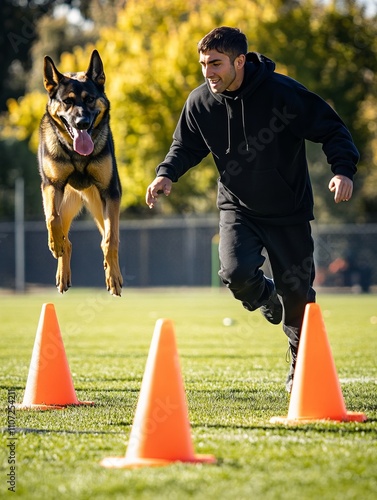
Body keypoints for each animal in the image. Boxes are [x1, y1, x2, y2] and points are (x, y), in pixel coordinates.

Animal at [39, 49, 122, 296]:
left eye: (89, 99)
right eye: (67, 101)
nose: (82, 122)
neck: (77, 155)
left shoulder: (110, 193)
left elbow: (110, 240)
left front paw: (112, 276)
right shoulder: (52, 185)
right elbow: (52, 218)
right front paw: (54, 243)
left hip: (101, 207)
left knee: (108, 237)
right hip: (67, 201)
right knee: (66, 236)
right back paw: (61, 263)